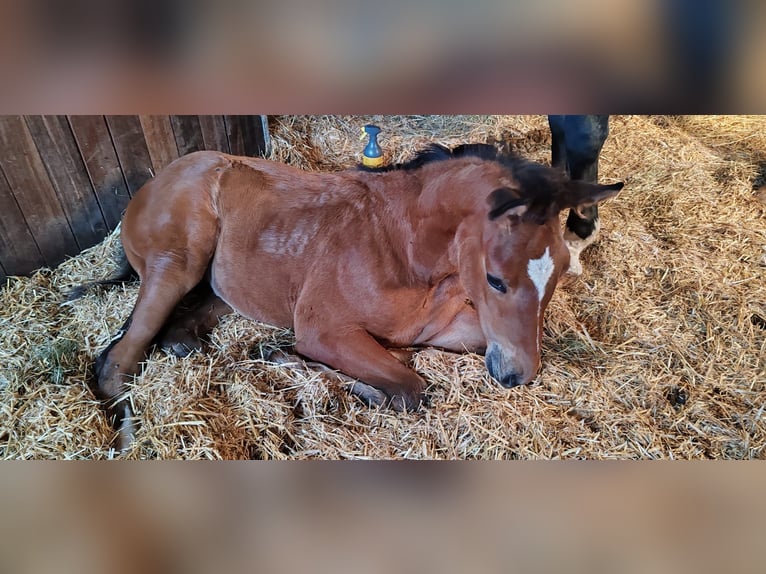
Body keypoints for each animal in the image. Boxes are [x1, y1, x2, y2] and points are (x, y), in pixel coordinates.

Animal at [84, 144, 624, 450]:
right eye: (494, 279)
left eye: (561, 269)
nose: (518, 375)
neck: (405, 251)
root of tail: (154, 180)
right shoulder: (323, 329)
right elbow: (412, 388)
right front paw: (313, 369)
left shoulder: (454, 325)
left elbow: (436, 357)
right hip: (177, 263)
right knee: (117, 361)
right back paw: (129, 438)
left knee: (189, 318)